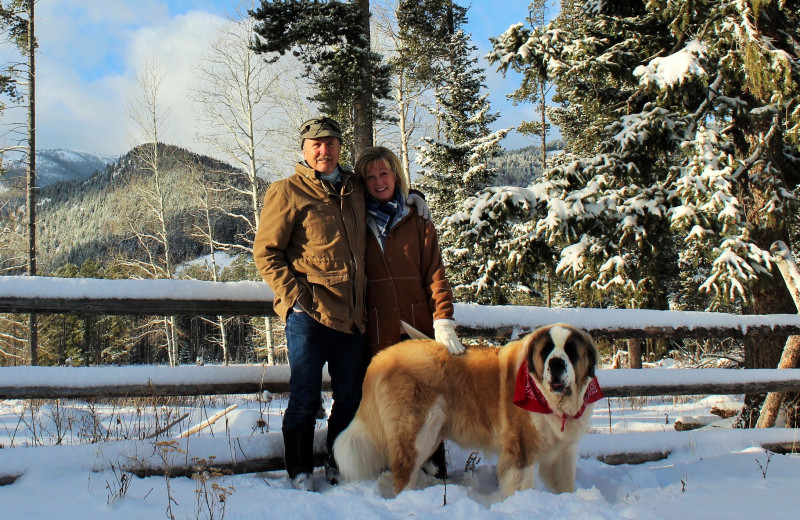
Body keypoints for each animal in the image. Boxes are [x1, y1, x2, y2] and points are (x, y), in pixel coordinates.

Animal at [332, 322, 600, 498]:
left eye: (571, 352)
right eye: (546, 351)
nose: (555, 363)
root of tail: (381, 357)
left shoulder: (563, 451)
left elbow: (563, 484)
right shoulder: (521, 447)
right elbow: (519, 484)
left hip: (430, 433)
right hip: (417, 431)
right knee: (403, 473)